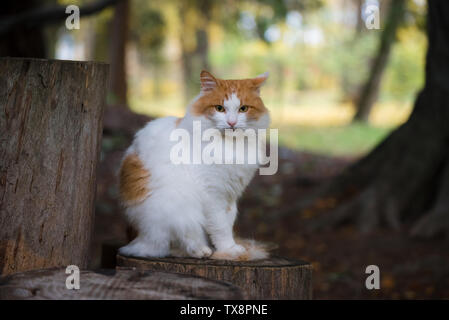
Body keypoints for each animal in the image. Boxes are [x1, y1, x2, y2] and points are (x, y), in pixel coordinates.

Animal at [116, 70, 270, 260]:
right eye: (220, 108)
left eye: (243, 109)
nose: (232, 123)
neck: (230, 145)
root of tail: (142, 236)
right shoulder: (212, 195)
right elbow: (220, 227)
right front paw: (228, 249)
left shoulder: (229, 197)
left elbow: (228, 223)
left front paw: (228, 247)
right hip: (178, 205)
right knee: (180, 239)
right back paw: (201, 250)